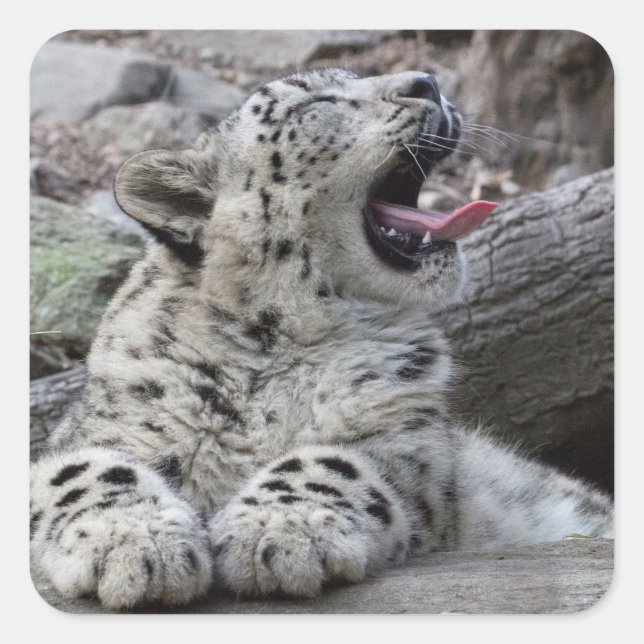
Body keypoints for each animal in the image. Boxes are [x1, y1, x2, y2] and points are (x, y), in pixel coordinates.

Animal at [30, 68, 613, 609]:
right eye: (316, 103)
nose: (428, 82)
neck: (277, 343)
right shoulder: (106, 430)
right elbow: (84, 470)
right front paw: (135, 543)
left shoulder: (410, 445)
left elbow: (331, 462)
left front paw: (278, 532)